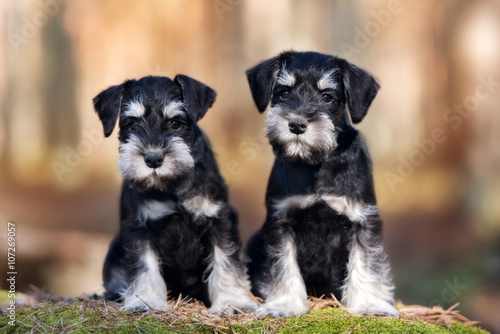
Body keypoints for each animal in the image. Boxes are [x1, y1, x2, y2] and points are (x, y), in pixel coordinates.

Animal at [93, 74, 258, 314]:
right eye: (133, 123)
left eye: (175, 123)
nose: (153, 158)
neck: (172, 186)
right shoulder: (139, 227)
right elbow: (144, 266)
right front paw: (145, 301)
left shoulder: (219, 219)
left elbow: (225, 260)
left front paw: (233, 302)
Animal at [244, 51, 396, 318]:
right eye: (284, 92)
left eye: (327, 97)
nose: (296, 124)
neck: (317, 163)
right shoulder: (281, 221)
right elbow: (283, 265)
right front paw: (284, 304)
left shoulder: (362, 220)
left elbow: (366, 264)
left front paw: (370, 304)